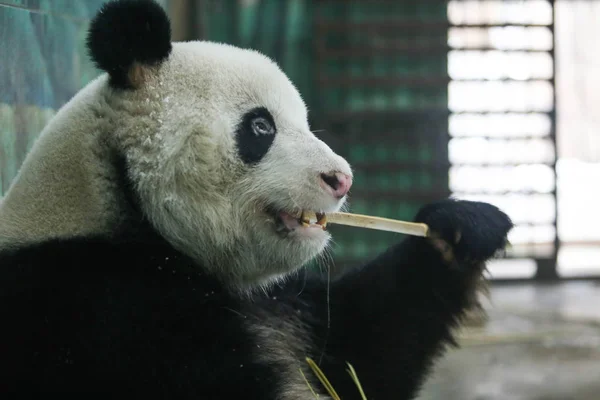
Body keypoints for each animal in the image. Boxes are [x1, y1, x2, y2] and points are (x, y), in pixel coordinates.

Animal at [0, 1, 512, 398]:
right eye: (261, 127)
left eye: (305, 121)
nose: (341, 180)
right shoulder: (101, 310)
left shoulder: (281, 303)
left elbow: (360, 353)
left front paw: (458, 229)